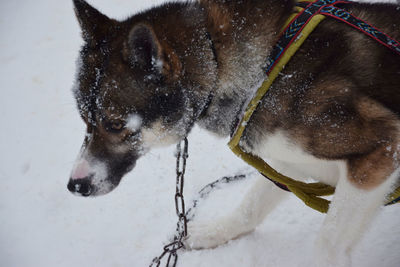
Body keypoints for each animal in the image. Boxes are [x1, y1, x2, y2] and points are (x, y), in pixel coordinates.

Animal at [67, 0, 398, 266]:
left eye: (115, 124)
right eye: (84, 118)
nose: (75, 186)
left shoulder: (382, 147)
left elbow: (327, 244)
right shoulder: (286, 163)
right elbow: (251, 206)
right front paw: (215, 232)